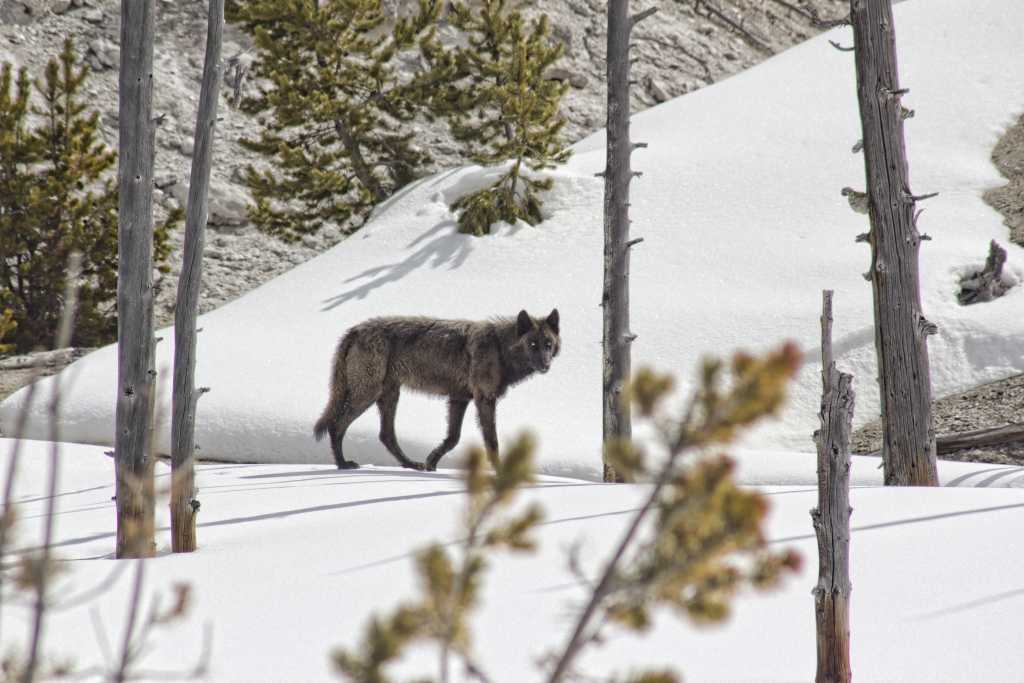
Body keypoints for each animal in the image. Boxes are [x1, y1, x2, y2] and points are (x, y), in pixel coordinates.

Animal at [315, 309, 565, 471]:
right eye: (533, 344)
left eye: (548, 344)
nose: (545, 365)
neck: (499, 349)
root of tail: (355, 329)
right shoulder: (484, 399)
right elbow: (492, 442)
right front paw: (501, 471)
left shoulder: (459, 398)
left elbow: (453, 438)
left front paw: (431, 463)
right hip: (368, 394)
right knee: (337, 425)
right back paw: (343, 465)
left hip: (389, 395)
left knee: (386, 435)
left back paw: (410, 464)